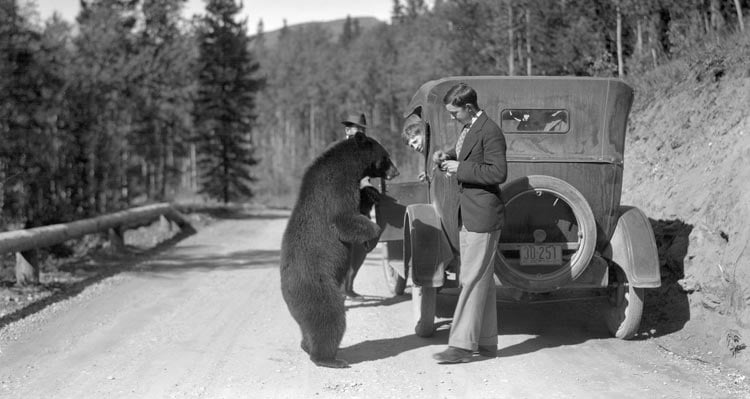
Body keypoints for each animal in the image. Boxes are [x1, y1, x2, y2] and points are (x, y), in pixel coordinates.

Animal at [280, 134, 400, 368]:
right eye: (386, 157)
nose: (396, 171)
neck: (350, 168)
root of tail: (285, 293)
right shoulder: (335, 189)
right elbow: (346, 219)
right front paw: (372, 239)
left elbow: (359, 207)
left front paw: (371, 192)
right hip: (318, 288)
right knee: (329, 317)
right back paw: (329, 358)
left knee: (308, 326)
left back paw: (307, 346)